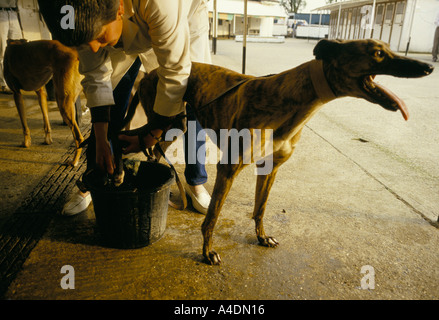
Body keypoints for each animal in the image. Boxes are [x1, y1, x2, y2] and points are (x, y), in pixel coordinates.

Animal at [3, 38, 84, 166]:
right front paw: (48, 140)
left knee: (79, 138)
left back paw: (74, 161)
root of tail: (76, 53)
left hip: (63, 102)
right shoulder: (41, 92)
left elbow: (24, 124)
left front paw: (26, 143)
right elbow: (46, 119)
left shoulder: (16, 94)